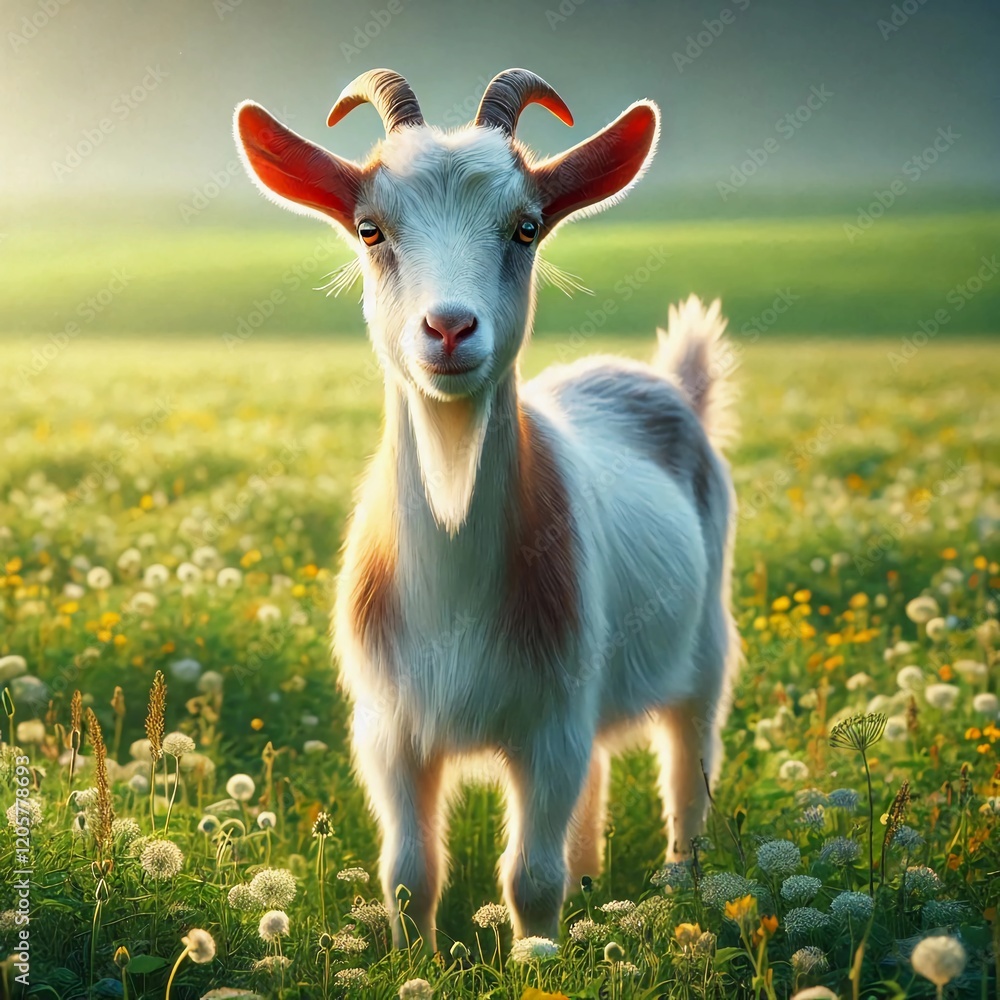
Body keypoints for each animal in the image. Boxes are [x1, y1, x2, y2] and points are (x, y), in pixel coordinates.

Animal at [234, 68, 739, 950]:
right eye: (370, 228)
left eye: (526, 227)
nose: (448, 327)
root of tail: (672, 384)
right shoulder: (390, 730)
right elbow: (408, 874)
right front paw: (419, 962)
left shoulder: (550, 722)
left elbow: (530, 878)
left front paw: (537, 958)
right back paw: (594, 880)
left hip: (705, 646)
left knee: (688, 769)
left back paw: (679, 889)